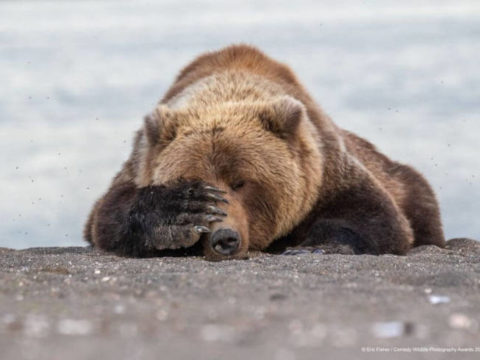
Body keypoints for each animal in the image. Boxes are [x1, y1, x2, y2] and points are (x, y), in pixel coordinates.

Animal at [83, 44, 446, 258]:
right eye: (194, 180)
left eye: (241, 182)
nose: (224, 239)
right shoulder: (140, 161)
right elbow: (108, 214)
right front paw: (180, 213)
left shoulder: (326, 170)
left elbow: (376, 217)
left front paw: (316, 246)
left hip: (403, 180)